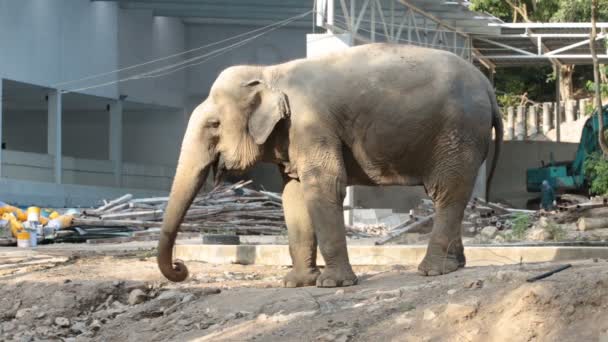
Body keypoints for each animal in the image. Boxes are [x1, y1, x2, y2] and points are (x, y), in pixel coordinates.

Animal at [157, 42, 504, 288]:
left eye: (213, 125)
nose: (180, 267)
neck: (270, 73)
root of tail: (488, 86)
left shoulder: (311, 124)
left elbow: (324, 185)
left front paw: (332, 284)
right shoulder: (293, 135)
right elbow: (293, 196)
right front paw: (296, 283)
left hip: (458, 131)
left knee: (446, 191)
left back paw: (432, 271)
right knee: (451, 194)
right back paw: (454, 266)